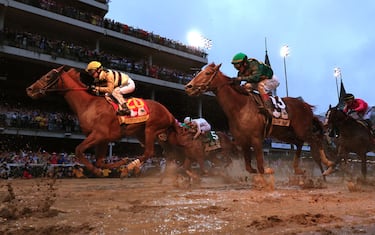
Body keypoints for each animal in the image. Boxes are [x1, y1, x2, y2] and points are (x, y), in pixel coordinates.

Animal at [26, 65, 179, 175]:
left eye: (48, 76)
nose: (29, 89)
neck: (89, 105)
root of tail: (169, 113)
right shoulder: (103, 139)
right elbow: (99, 161)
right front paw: (117, 163)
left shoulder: (99, 134)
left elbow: (78, 150)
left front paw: (97, 170)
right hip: (147, 134)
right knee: (165, 153)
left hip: (150, 129)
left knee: (149, 152)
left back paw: (129, 167)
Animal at [185, 63, 332, 175]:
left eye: (208, 73)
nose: (188, 87)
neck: (241, 107)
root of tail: (306, 106)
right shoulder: (243, 141)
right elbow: (249, 167)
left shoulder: (256, 139)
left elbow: (261, 165)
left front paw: (267, 172)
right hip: (285, 134)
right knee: (300, 143)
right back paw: (298, 168)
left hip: (302, 130)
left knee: (315, 140)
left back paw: (328, 164)